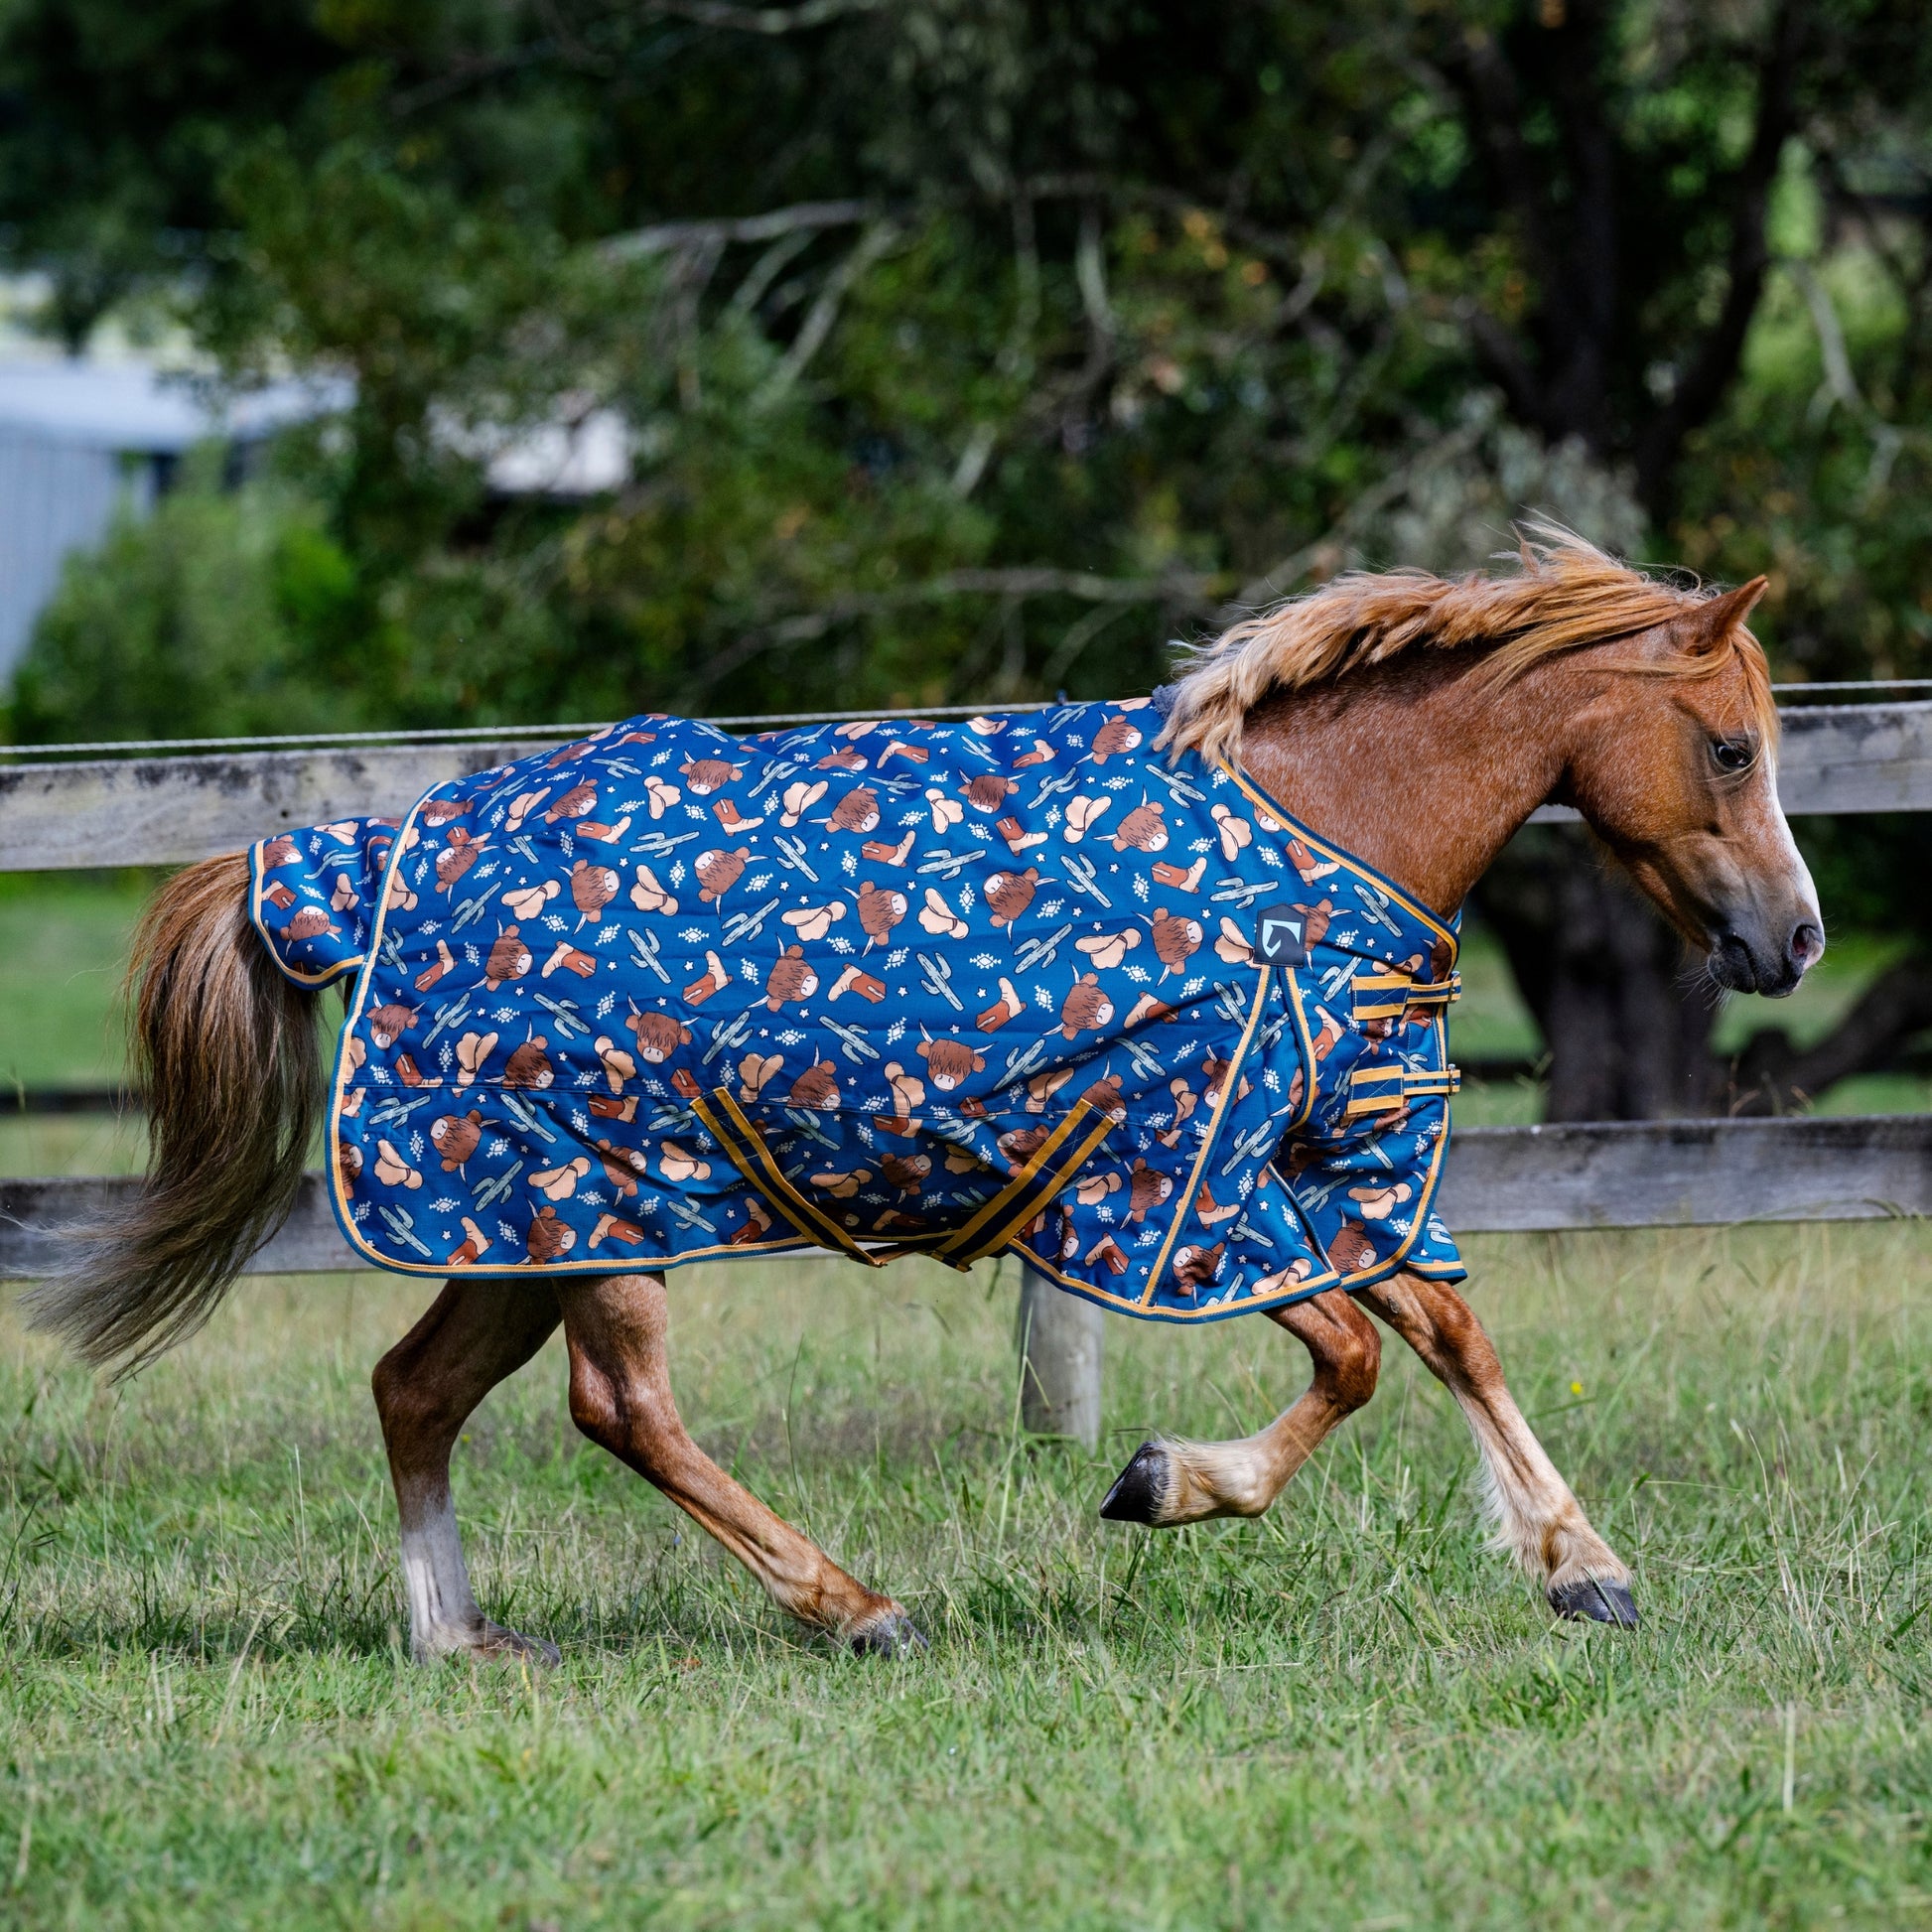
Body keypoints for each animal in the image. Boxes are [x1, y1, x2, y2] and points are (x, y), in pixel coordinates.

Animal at [25, 531, 1822, 1661]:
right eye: (1730, 747)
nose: (1793, 935)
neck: (1313, 834)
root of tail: (369, 855)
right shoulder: (1186, 1196)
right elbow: (1358, 1358)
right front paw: (1165, 1485)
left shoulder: (1326, 1173)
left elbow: (1449, 1330)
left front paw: (1584, 1570)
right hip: (600, 1206)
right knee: (622, 1409)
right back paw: (856, 1607)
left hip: (518, 1221)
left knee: (415, 1390)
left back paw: (461, 1636)